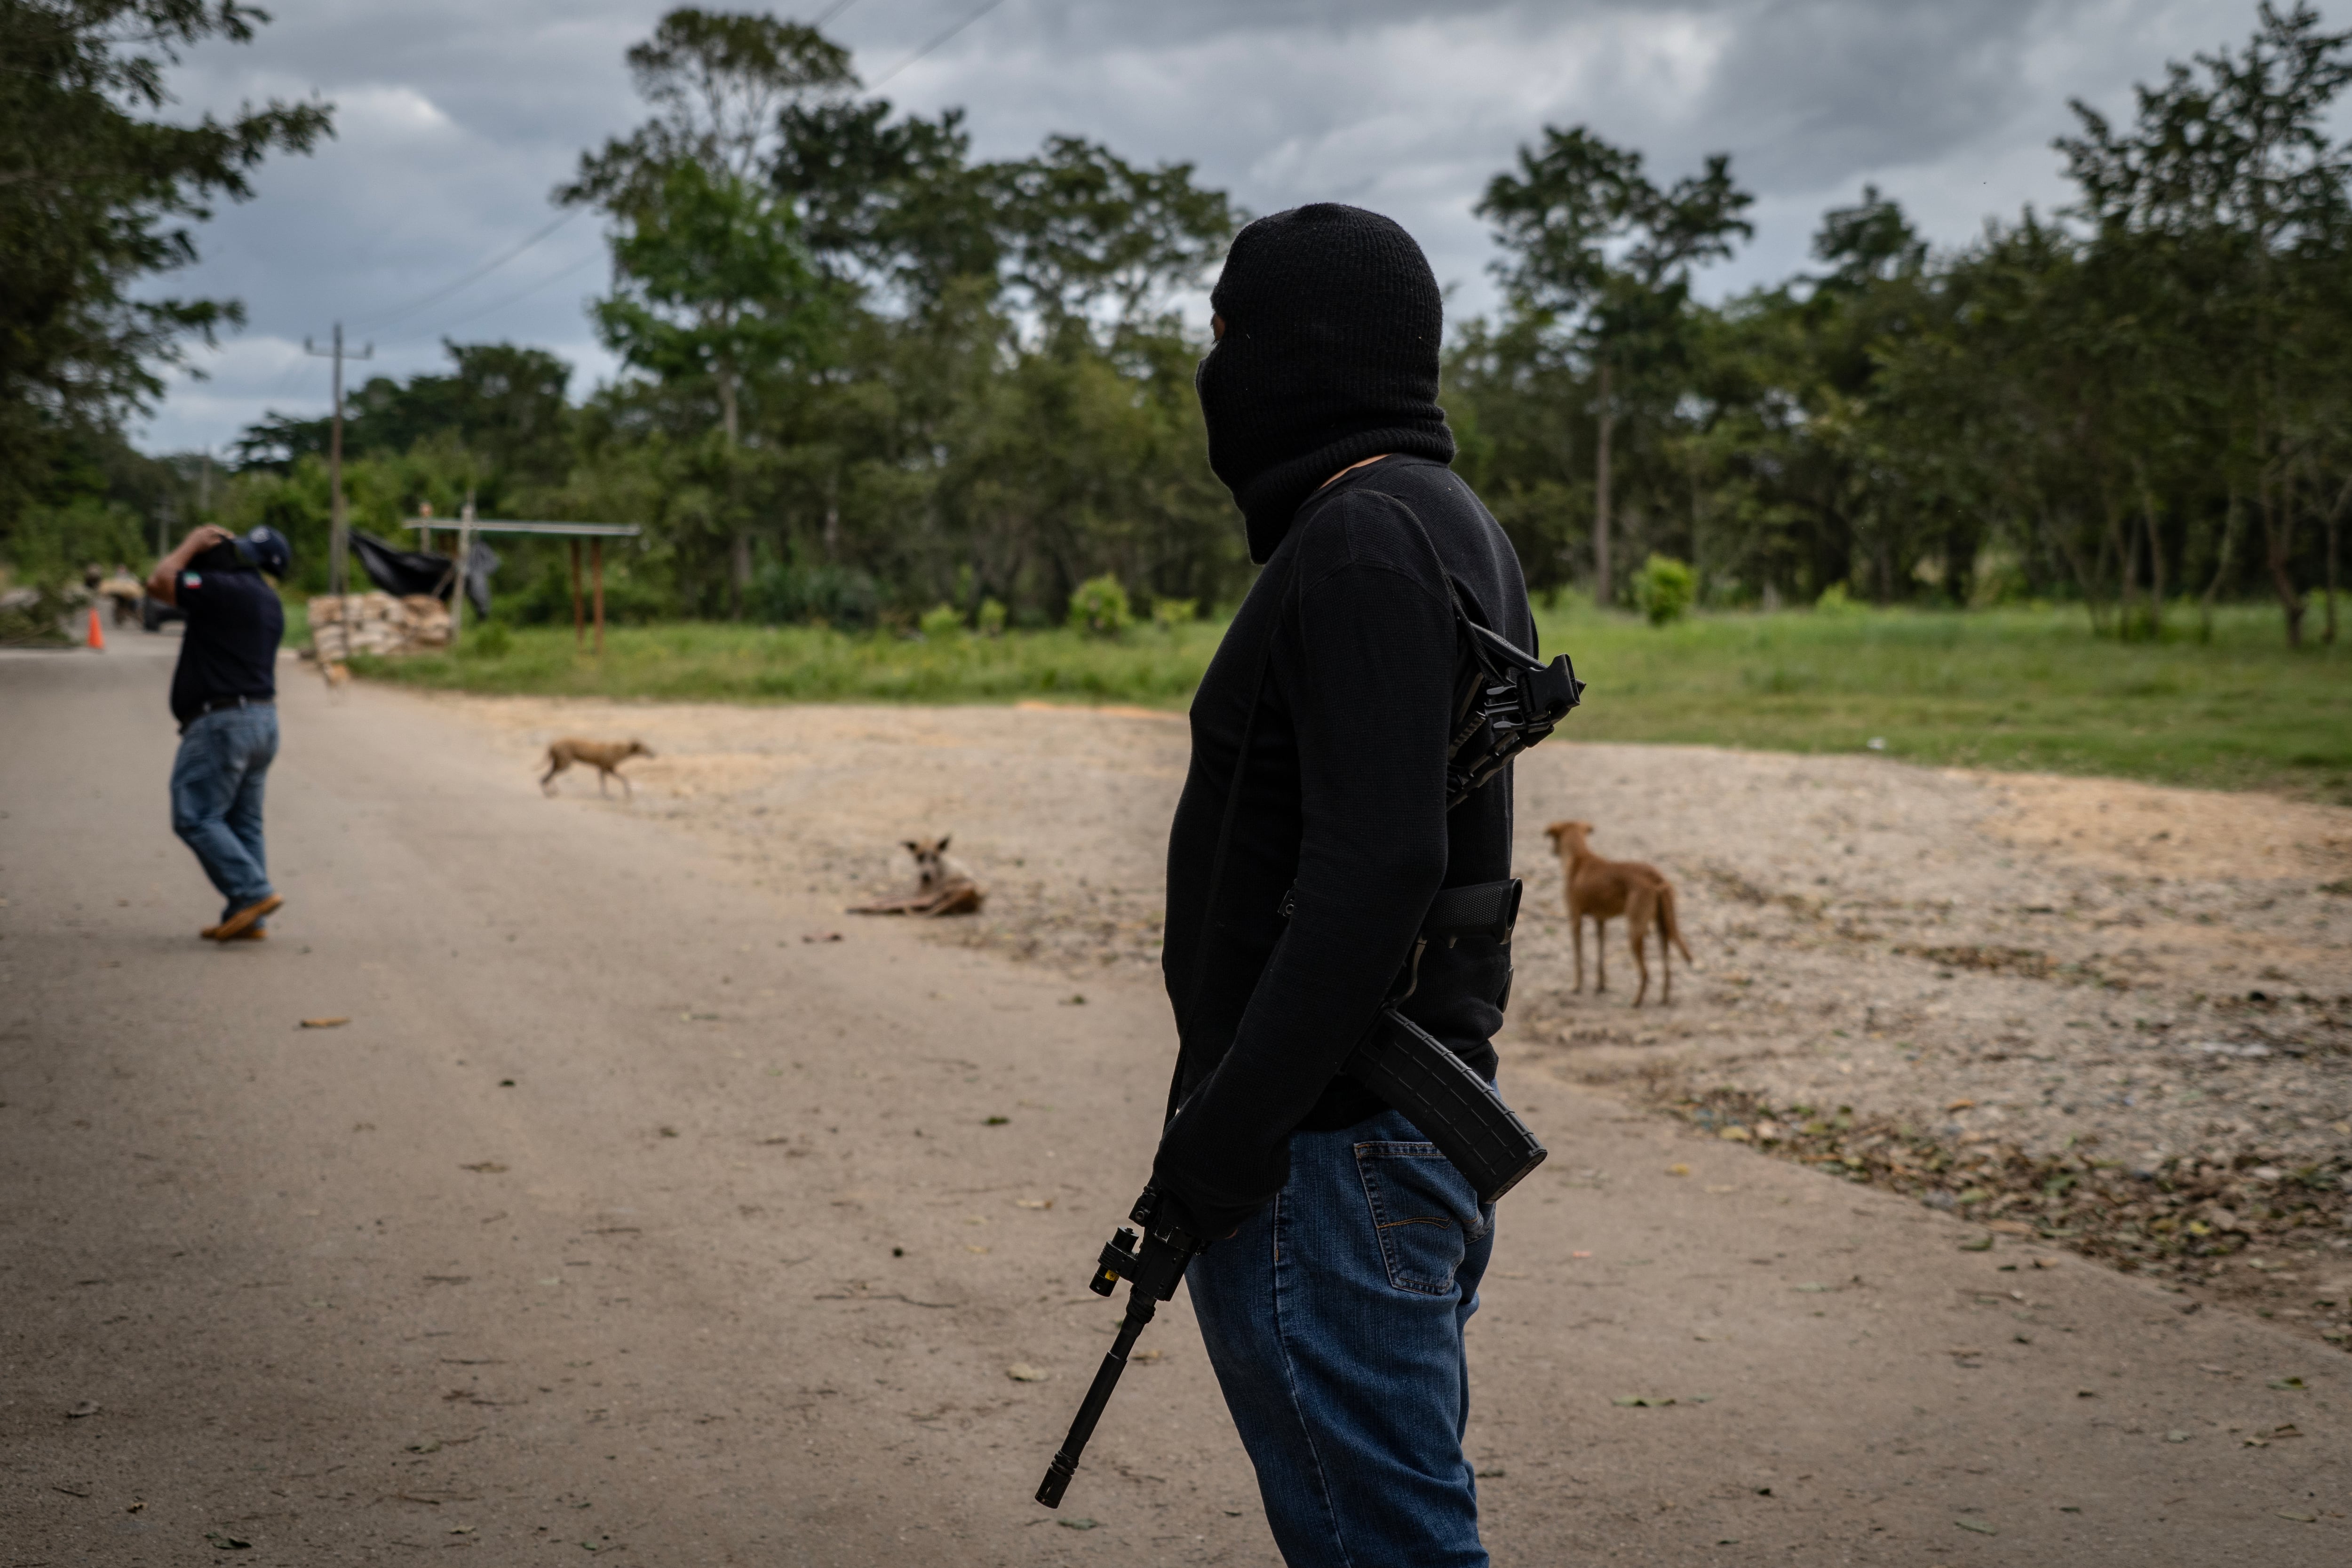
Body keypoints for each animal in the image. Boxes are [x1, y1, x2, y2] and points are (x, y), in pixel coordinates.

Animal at [539, 743, 654, 804]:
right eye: (646, 748)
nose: (654, 753)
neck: (620, 752)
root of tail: (552, 746)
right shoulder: (605, 768)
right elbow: (607, 781)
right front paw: (608, 795)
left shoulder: (607, 768)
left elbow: (622, 778)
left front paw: (626, 792)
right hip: (565, 763)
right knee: (545, 777)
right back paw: (548, 792)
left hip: (560, 763)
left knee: (547, 775)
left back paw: (552, 791)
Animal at [847, 832, 983, 921]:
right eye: (920, 857)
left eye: (935, 857)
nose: (926, 875)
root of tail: (972, 896)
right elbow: (890, 897)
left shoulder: (920, 896)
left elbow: (890, 899)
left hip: (928, 899)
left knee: (893, 904)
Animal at [1543, 822, 1693, 1006]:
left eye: (1553, 838)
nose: (1552, 851)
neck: (1579, 857)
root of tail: (1655, 876)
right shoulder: (1601, 921)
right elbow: (1600, 959)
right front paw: (1600, 986)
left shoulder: (1575, 919)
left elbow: (1579, 959)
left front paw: (1577, 987)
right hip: (1662, 930)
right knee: (1668, 970)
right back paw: (1663, 1000)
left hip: (1635, 931)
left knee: (1646, 973)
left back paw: (1636, 1002)